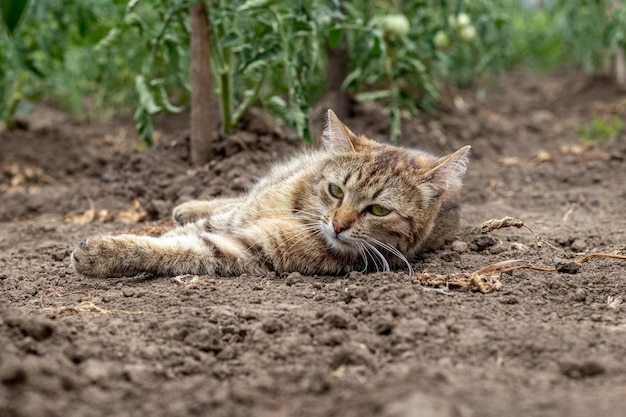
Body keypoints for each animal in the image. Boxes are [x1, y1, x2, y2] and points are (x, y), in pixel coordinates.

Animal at [69, 110, 468, 278]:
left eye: (379, 211)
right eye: (335, 190)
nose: (338, 225)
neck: (300, 213)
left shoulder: (248, 249)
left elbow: (178, 249)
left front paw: (105, 253)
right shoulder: (233, 221)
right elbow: (183, 233)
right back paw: (189, 206)